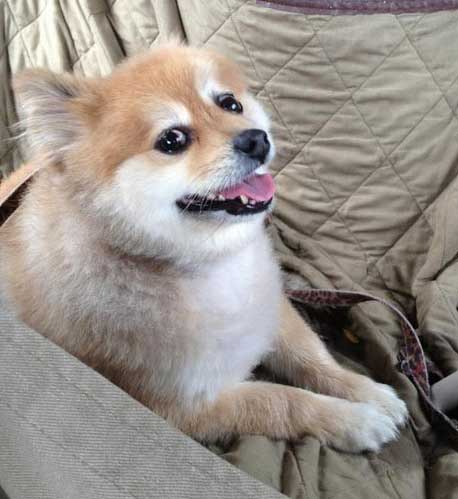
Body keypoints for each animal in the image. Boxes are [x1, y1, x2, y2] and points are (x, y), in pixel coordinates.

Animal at [0, 44, 408, 454]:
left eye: (230, 104)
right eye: (172, 140)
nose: (256, 139)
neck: (212, 263)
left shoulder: (272, 311)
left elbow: (311, 356)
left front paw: (365, 391)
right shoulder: (184, 407)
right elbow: (282, 401)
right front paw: (355, 420)